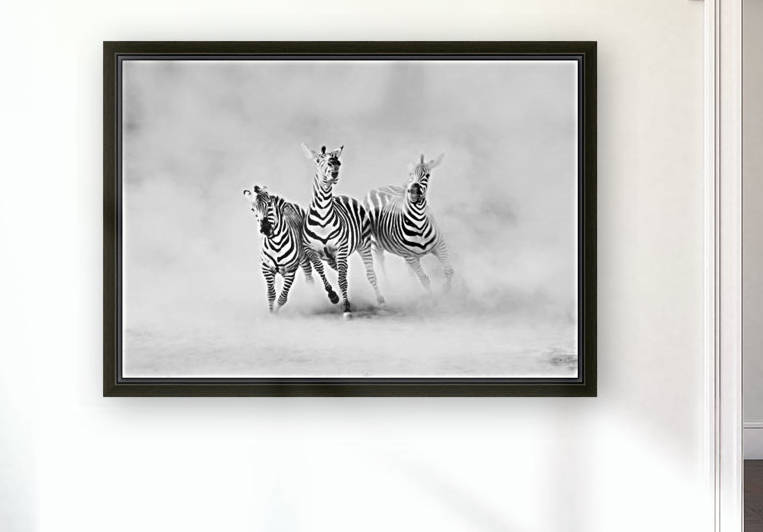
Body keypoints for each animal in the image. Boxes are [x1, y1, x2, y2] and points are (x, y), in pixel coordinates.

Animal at [300, 143, 384, 317]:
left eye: (337, 161)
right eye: (318, 160)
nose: (335, 169)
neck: (322, 216)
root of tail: (344, 196)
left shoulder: (340, 249)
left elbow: (342, 279)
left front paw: (346, 307)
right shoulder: (311, 250)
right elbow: (320, 270)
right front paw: (333, 296)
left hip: (363, 245)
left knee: (369, 273)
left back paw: (380, 299)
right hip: (332, 257)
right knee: (339, 269)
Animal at [364, 153, 454, 291]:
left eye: (427, 175)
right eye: (410, 174)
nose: (413, 191)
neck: (419, 223)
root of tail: (378, 188)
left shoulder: (440, 245)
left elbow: (448, 271)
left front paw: (448, 291)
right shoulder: (410, 256)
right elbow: (424, 280)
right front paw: (435, 297)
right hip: (376, 244)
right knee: (380, 261)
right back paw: (388, 286)